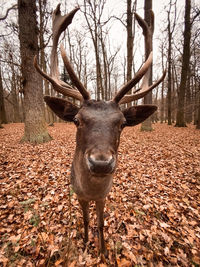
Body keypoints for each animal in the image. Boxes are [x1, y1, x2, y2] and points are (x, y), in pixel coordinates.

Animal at [34, 3, 166, 255]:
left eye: (122, 123)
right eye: (77, 120)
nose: (101, 163)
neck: (92, 191)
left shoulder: (104, 195)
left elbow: (101, 222)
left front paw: (103, 250)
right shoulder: (79, 194)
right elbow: (86, 220)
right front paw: (86, 243)